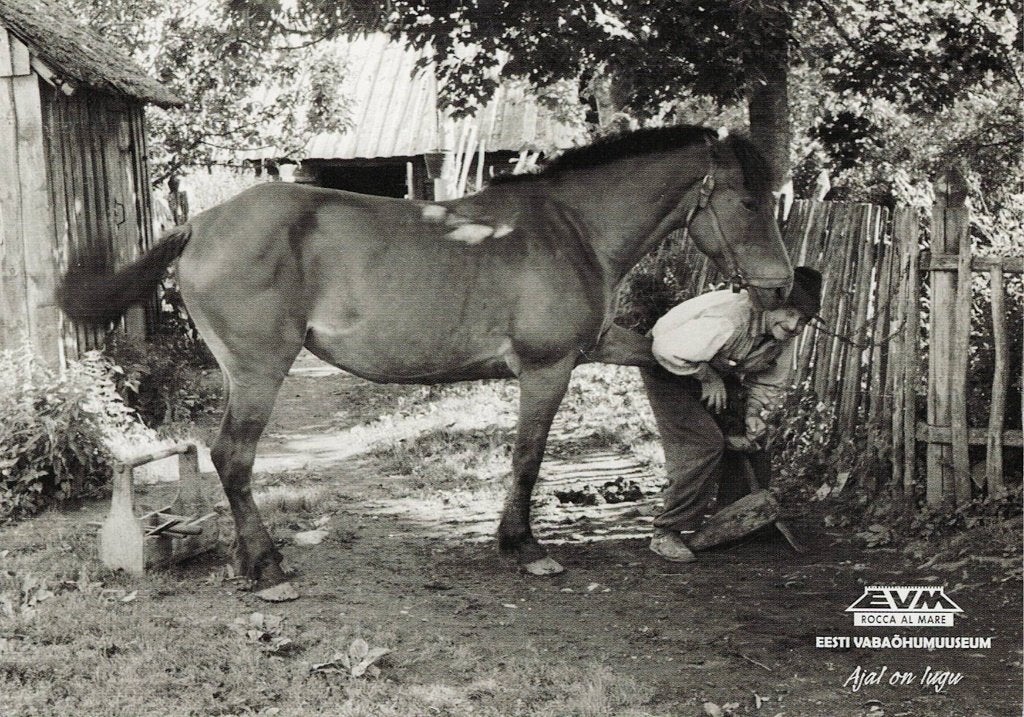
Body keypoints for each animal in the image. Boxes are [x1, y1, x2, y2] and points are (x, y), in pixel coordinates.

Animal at [59, 125, 793, 601]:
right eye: (748, 200)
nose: (783, 286)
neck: (572, 227)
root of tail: (202, 224)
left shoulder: (595, 345)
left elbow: (661, 356)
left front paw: (721, 391)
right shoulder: (548, 367)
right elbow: (528, 459)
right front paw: (524, 547)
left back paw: (249, 561)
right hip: (259, 374)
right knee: (233, 457)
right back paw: (267, 566)